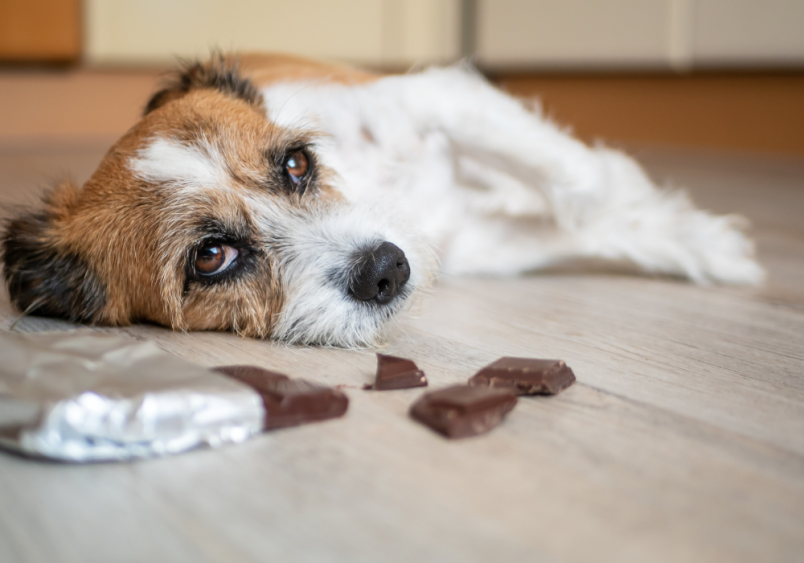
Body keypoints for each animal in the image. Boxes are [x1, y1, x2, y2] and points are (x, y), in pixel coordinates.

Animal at [1, 53, 768, 346]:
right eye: (210, 257)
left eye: (297, 163)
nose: (386, 269)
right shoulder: (480, 245)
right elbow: (577, 221)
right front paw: (693, 239)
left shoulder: (438, 98)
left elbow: (580, 184)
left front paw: (696, 237)